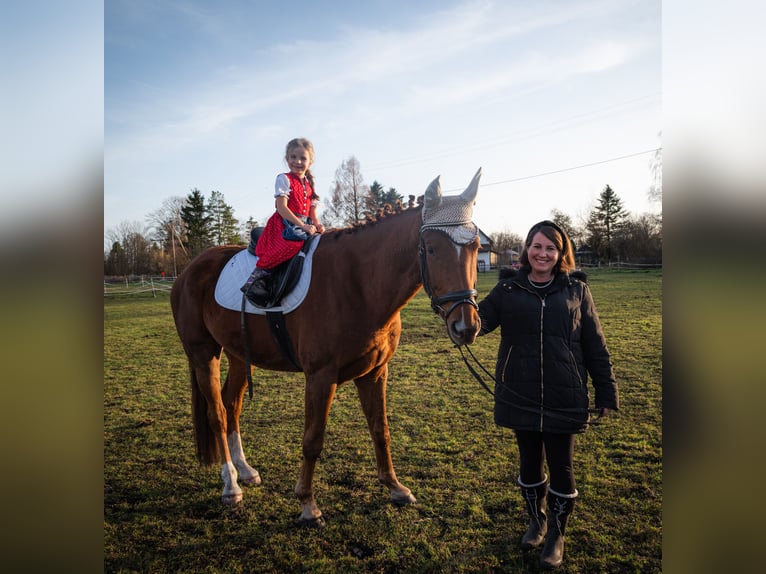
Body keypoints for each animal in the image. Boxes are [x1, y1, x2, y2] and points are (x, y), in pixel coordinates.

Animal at [171, 166, 484, 528]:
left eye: (476, 246)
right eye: (431, 249)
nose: (466, 326)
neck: (359, 282)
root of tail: (189, 270)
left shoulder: (376, 372)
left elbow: (381, 430)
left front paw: (395, 488)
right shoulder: (320, 377)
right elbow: (313, 439)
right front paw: (308, 505)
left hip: (237, 354)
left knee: (231, 404)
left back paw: (245, 471)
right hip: (203, 354)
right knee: (218, 414)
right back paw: (231, 485)